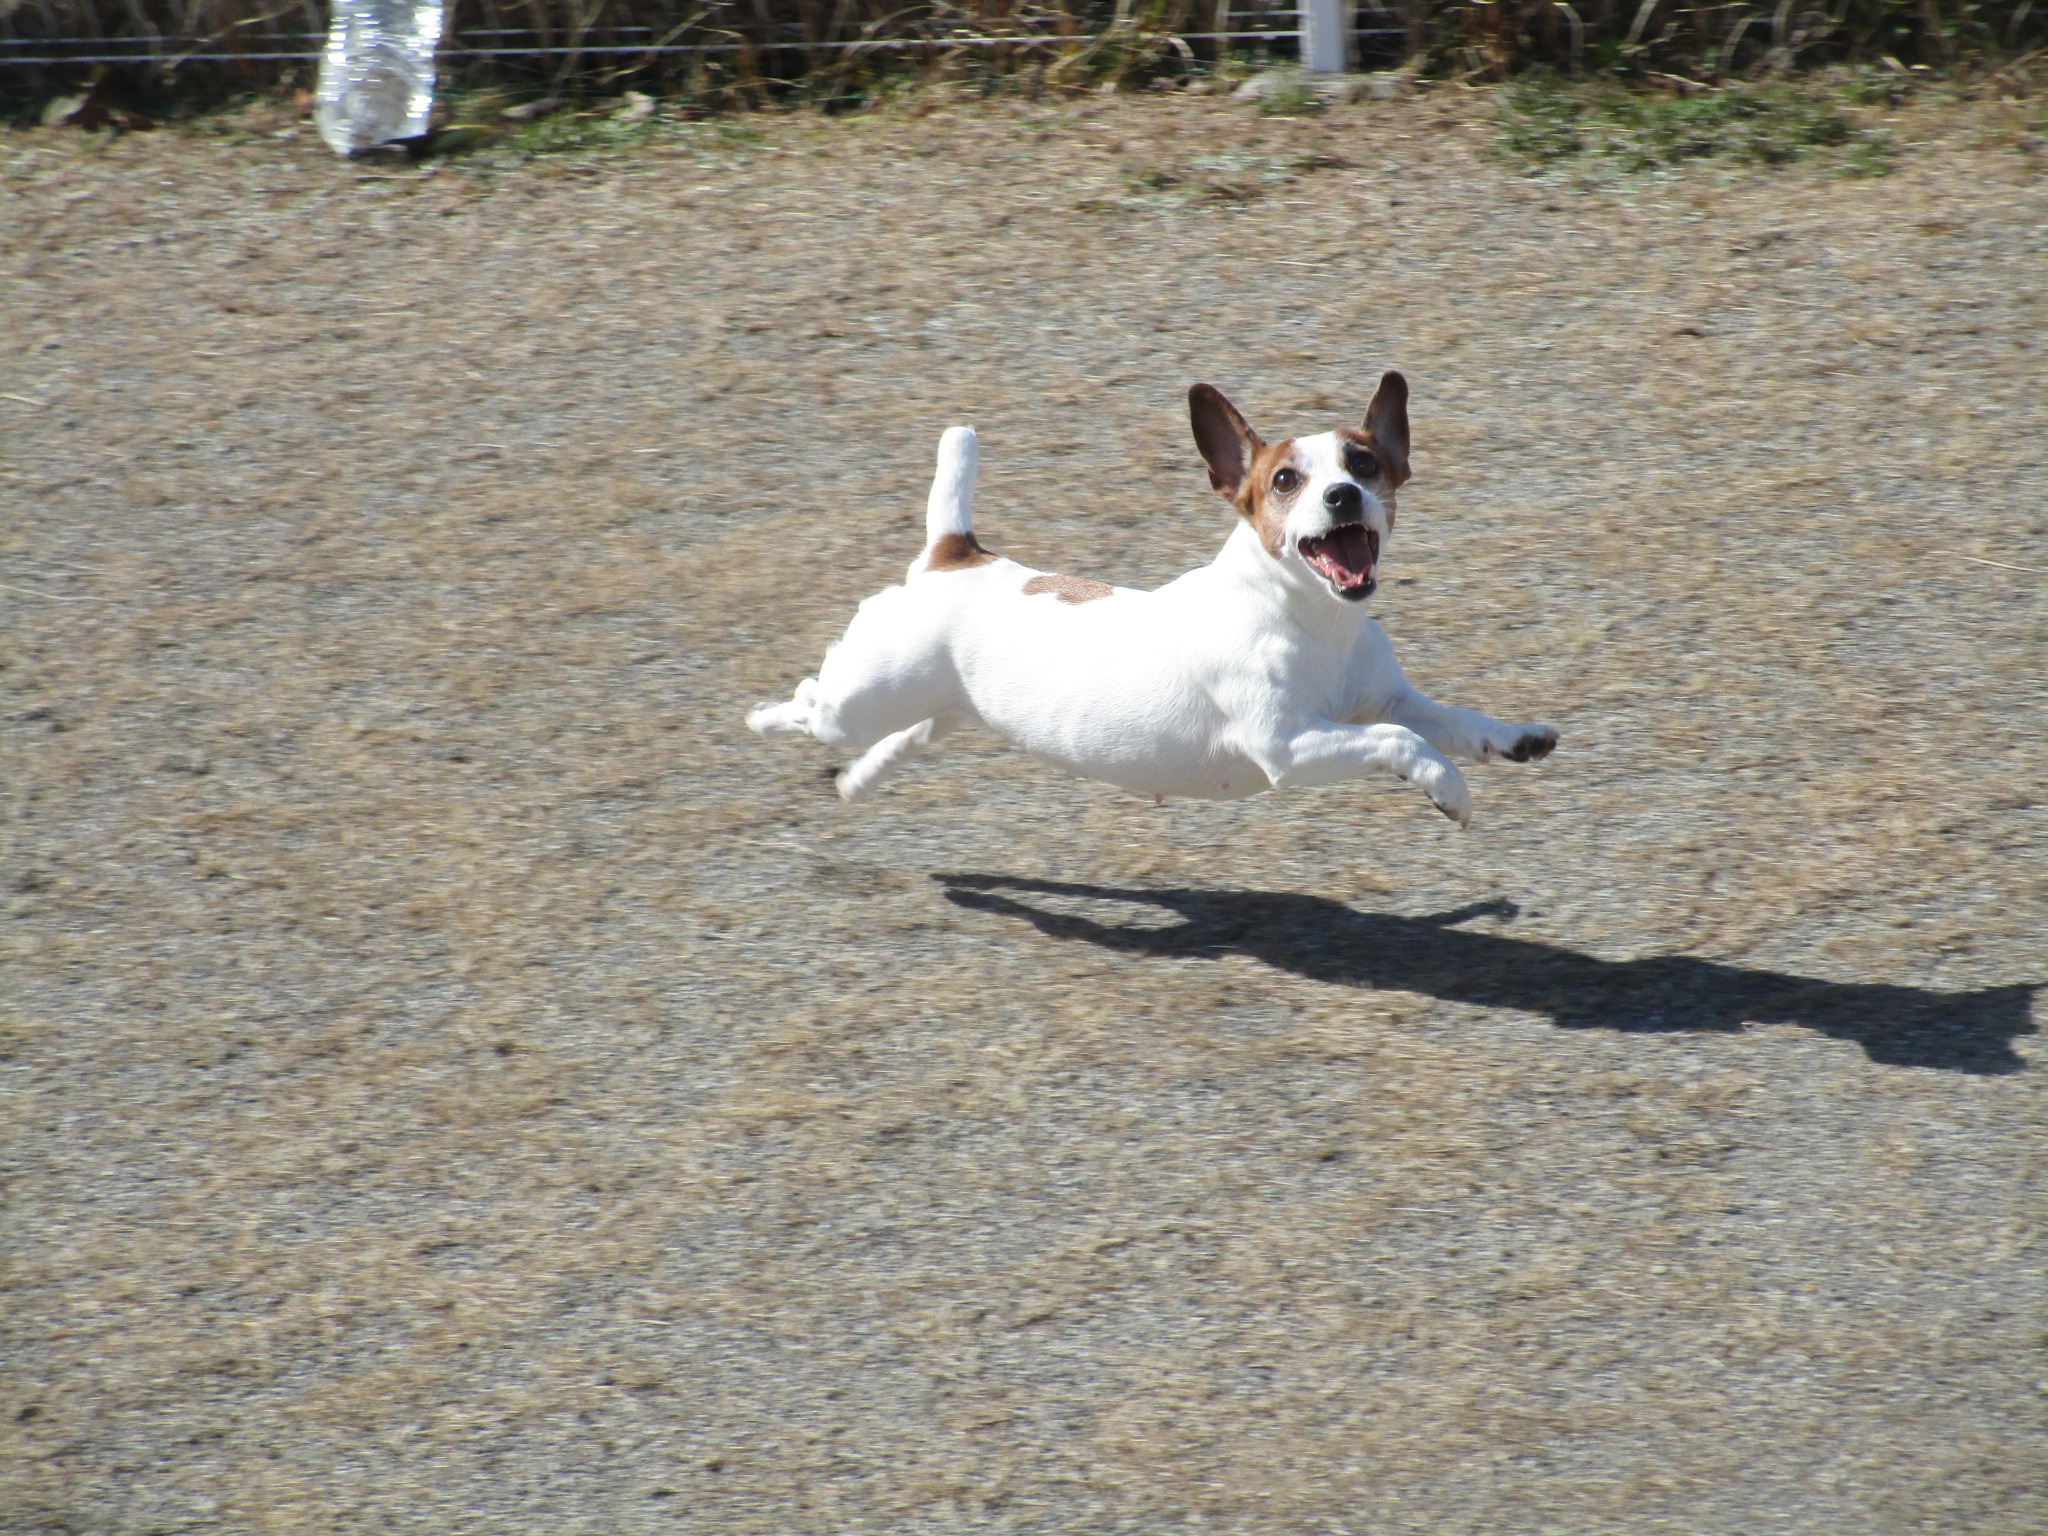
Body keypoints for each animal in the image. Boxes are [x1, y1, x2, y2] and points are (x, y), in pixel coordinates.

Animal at [745, 374, 1556, 831]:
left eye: (1365, 464)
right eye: (1285, 481)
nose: (1342, 495)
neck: (1311, 619)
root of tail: (955, 554)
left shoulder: (1387, 701)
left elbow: (1448, 722)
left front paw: (1513, 738)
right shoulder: (1292, 748)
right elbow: (1405, 744)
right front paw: (1450, 789)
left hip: (941, 707)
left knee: (906, 736)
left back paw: (859, 781)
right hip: (860, 701)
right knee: (813, 702)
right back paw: (765, 719)